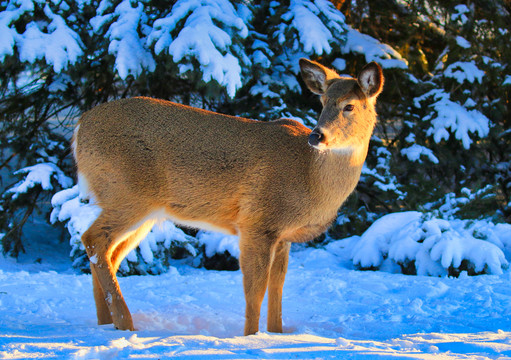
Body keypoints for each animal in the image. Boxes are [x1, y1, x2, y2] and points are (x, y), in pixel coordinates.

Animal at [72, 58, 384, 334]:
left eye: (349, 106)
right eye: (322, 103)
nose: (317, 136)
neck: (310, 177)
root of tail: (79, 126)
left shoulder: (283, 237)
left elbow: (277, 291)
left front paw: (276, 335)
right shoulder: (257, 222)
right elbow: (255, 292)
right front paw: (250, 338)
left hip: (144, 210)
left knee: (109, 254)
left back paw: (106, 323)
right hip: (127, 194)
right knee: (92, 239)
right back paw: (126, 323)